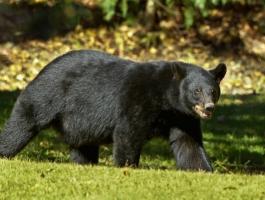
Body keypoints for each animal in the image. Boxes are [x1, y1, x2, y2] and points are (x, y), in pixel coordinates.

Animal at [0, 49, 225, 170]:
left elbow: (188, 142)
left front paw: (203, 169)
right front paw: (127, 166)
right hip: (47, 95)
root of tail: (43, 68)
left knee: (84, 145)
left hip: (80, 122)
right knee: (23, 124)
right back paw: (5, 152)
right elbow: (128, 132)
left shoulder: (182, 116)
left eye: (213, 91)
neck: (166, 99)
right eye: (196, 91)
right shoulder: (137, 98)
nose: (209, 107)